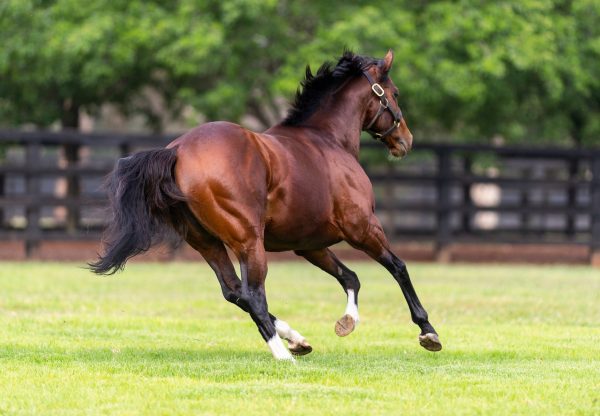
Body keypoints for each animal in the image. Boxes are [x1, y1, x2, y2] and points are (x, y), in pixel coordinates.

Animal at [89, 49, 440, 360]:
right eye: (394, 93)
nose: (405, 140)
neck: (328, 140)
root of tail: (178, 151)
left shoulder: (309, 244)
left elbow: (350, 277)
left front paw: (346, 322)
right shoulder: (362, 227)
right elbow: (398, 267)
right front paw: (427, 331)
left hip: (207, 243)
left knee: (234, 292)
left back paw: (296, 340)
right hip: (248, 241)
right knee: (253, 295)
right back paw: (283, 355)